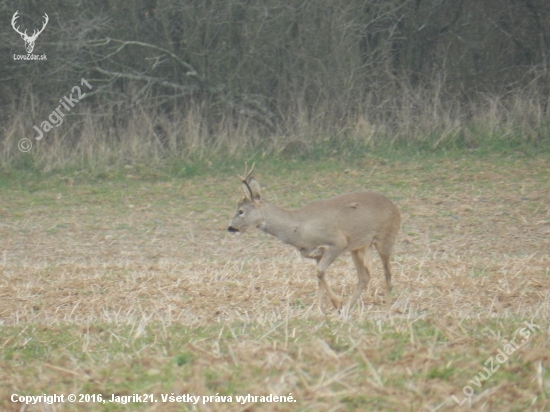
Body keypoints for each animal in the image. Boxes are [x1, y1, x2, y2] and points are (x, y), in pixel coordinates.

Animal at [227, 163, 402, 312]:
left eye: (241, 211)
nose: (230, 228)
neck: (298, 229)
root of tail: (395, 207)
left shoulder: (337, 242)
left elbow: (319, 272)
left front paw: (337, 303)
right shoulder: (316, 253)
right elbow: (319, 278)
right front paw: (320, 310)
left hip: (386, 237)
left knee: (387, 273)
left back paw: (387, 311)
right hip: (358, 247)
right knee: (365, 276)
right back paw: (349, 310)